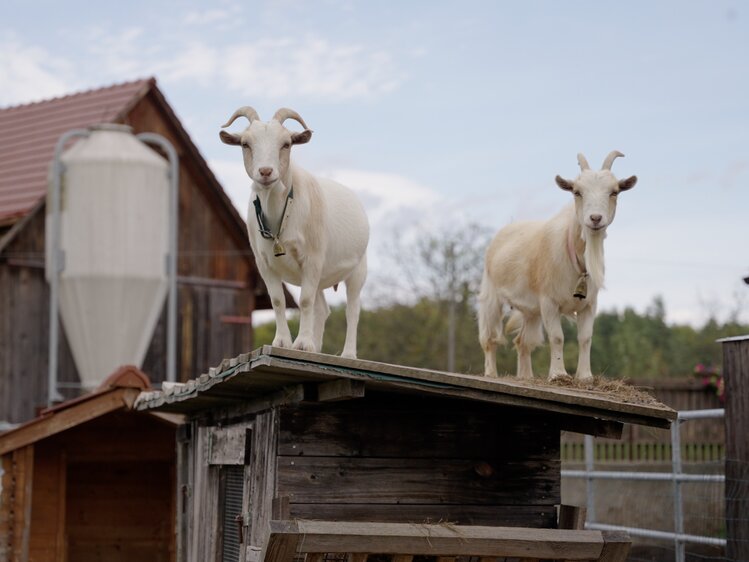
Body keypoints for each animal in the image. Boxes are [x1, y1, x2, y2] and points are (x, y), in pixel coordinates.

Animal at [219, 107, 368, 356]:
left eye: (286, 144)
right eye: (245, 144)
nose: (265, 171)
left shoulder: (313, 258)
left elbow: (305, 301)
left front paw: (302, 344)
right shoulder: (264, 263)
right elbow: (278, 300)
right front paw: (284, 342)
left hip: (357, 268)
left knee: (352, 309)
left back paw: (347, 353)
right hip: (321, 276)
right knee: (322, 308)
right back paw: (315, 348)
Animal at [480, 151, 636, 378]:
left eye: (614, 192)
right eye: (577, 192)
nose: (595, 218)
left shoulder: (589, 304)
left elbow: (585, 338)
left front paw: (585, 376)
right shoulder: (549, 302)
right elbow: (557, 337)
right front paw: (558, 375)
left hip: (531, 311)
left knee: (522, 342)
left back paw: (526, 376)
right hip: (491, 296)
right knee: (489, 338)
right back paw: (491, 373)